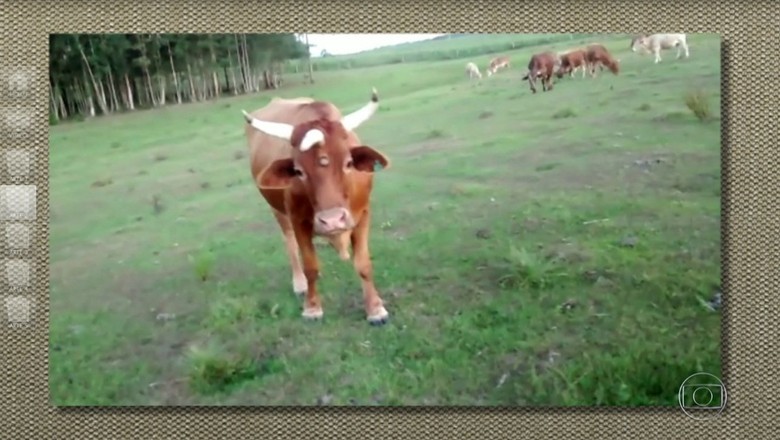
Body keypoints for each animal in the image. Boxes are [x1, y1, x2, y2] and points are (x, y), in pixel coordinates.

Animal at [241, 87, 394, 324]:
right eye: (298, 171)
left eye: (349, 163)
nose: (332, 221)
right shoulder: (298, 220)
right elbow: (310, 266)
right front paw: (312, 307)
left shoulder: (363, 214)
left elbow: (363, 263)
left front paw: (375, 308)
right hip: (277, 211)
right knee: (290, 244)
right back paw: (299, 283)